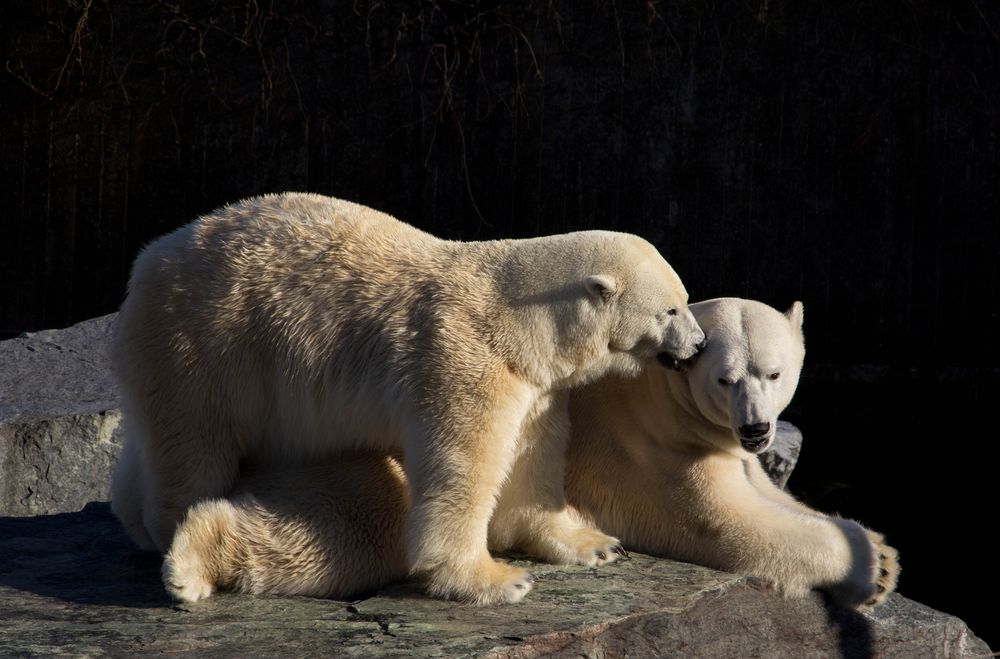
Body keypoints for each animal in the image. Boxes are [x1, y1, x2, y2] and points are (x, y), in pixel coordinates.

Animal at [111, 192, 704, 608]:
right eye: (671, 309)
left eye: (684, 299)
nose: (698, 345)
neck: (519, 322)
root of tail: (147, 260)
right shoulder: (461, 362)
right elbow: (464, 466)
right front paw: (494, 580)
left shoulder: (534, 386)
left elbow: (529, 459)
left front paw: (592, 543)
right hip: (204, 343)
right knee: (196, 443)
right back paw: (181, 547)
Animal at [162, 300, 900, 608]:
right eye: (725, 377)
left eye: (775, 372)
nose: (756, 430)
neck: (661, 391)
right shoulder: (651, 448)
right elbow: (731, 524)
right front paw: (874, 567)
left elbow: (775, 496)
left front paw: (875, 546)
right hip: (374, 461)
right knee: (341, 532)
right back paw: (191, 561)